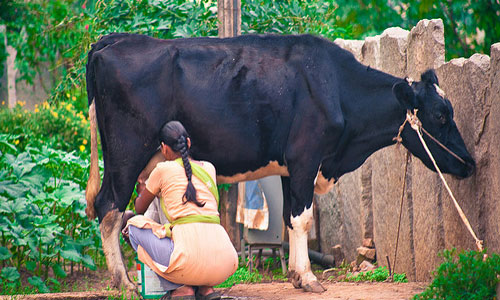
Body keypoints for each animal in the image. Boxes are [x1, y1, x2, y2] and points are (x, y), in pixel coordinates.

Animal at [86, 32, 476, 292]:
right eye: (441, 115)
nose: (470, 163)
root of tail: (113, 41)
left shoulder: (292, 167)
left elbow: (291, 218)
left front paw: (296, 274)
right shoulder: (306, 157)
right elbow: (302, 219)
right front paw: (309, 278)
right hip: (127, 151)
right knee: (109, 207)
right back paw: (123, 283)